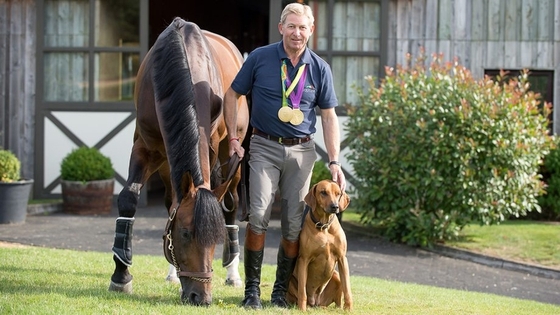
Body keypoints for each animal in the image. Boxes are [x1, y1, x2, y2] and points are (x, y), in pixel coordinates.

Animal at [108, 17, 248, 306]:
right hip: (165, 165)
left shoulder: (211, 150)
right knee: (169, 201)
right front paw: (120, 276)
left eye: (214, 240)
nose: (200, 297)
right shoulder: (145, 148)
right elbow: (129, 198)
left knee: (230, 203)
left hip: (232, 154)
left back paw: (233, 274)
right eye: (184, 234)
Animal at [286, 180, 352, 312]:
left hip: (336, 275)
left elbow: (347, 288)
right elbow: (302, 291)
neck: (324, 226)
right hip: (291, 280)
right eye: (323, 192)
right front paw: (302, 309)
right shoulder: (304, 259)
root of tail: (315, 302)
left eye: (338, 194)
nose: (335, 207)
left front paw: (349, 308)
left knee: (337, 301)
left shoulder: (342, 258)